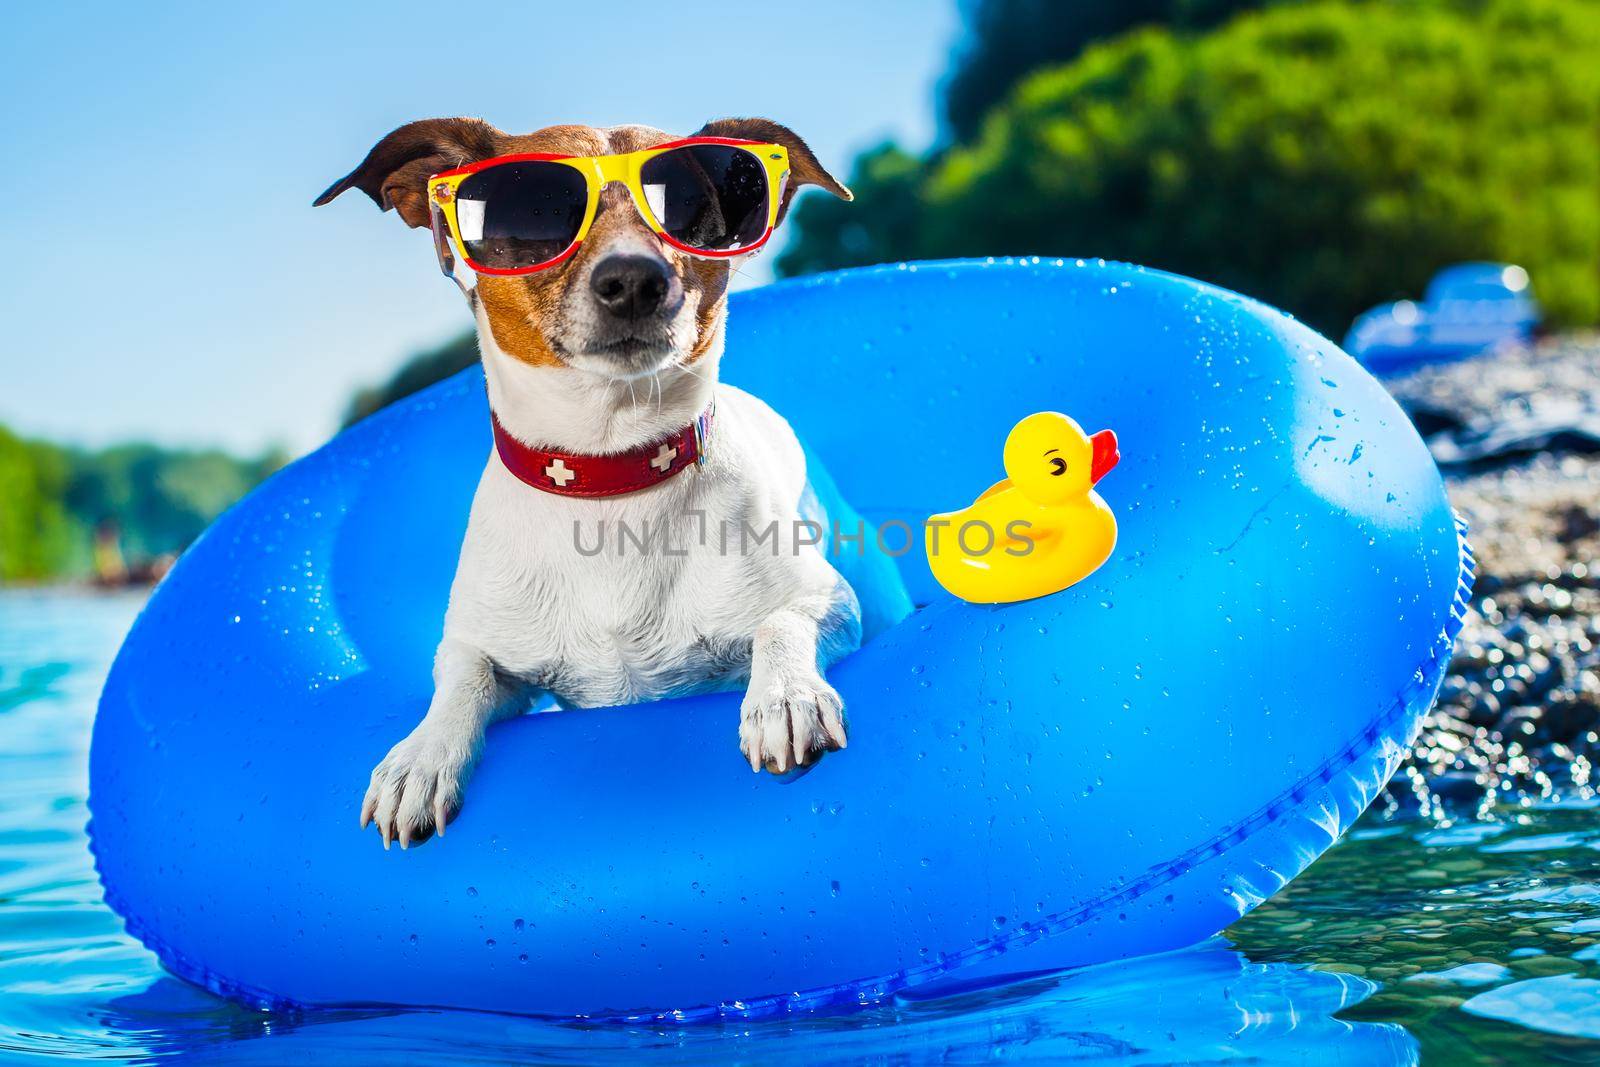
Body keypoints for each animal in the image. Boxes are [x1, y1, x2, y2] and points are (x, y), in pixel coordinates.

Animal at [320, 116, 883, 851]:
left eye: (689, 208)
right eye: (534, 209)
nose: (634, 280)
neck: (611, 476)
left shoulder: (829, 600)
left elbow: (782, 619)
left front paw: (784, 696)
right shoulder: (487, 652)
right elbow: (461, 680)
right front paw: (420, 756)